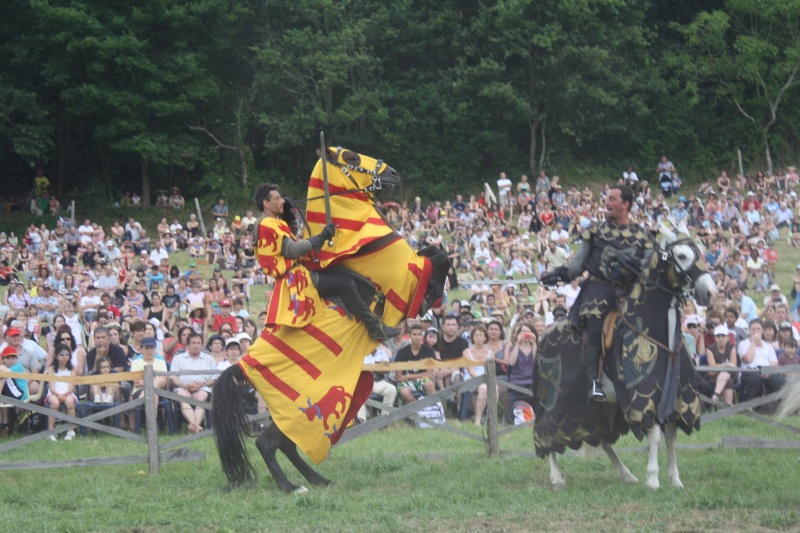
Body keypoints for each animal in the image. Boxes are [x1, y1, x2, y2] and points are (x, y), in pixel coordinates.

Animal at [212, 145, 450, 490]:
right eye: (351, 156)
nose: (393, 173)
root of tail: (242, 365)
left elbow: (436, 251)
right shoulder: (409, 277)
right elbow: (439, 256)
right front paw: (431, 296)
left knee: (285, 445)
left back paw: (317, 479)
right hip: (297, 410)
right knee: (267, 443)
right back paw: (291, 487)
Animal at [536, 222, 716, 488]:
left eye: (701, 253)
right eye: (682, 256)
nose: (710, 293)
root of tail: (542, 338)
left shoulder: (678, 400)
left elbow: (671, 438)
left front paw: (675, 480)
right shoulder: (644, 399)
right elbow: (655, 437)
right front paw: (653, 479)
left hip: (599, 409)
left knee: (603, 439)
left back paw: (626, 474)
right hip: (555, 404)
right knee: (546, 435)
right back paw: (557, 477)